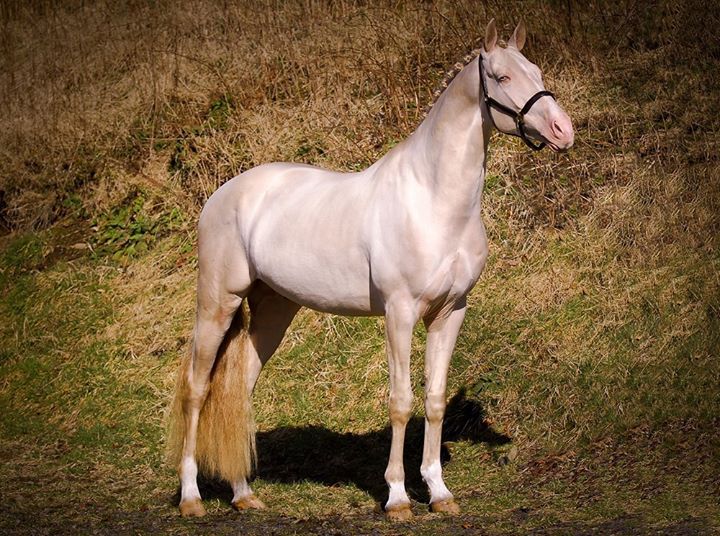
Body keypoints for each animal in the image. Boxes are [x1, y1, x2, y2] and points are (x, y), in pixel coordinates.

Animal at [169, 19, 572, 520]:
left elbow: (434, 400)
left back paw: (243, 493)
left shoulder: (450, 313)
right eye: (501, 77)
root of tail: (222, 195)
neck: (434, 200)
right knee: (196, 389)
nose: (563, 130)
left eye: (536, 71)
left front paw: (439, 492)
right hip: (217, 304)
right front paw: (397, 497)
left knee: (240, 391)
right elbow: (400, 402)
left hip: (274, 311)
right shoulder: (400, 313)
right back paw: (191, 497)